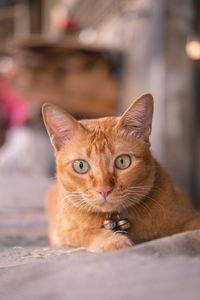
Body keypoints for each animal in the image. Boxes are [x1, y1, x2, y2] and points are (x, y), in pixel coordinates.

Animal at [42, 93, 200, 251]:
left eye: (122, 161)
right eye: (81, 166)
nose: (104, 190)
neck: (116, 218)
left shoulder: (191, 216)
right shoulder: (63, 232)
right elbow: (88, 232)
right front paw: (116, 241)